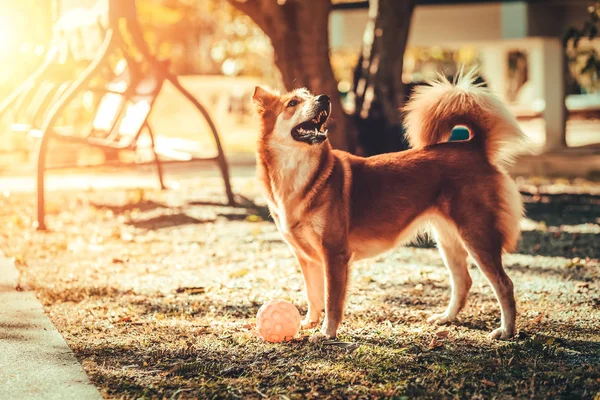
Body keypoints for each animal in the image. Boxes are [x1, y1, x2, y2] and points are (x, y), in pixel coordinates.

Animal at [251, 72, 524, 340]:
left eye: (307, 97)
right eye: (293, 103)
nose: (324, 98)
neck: (299, 178)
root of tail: (473, 145)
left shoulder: (334, 253)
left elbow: (332, 299)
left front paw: (327, 332)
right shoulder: (306, 257)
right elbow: (313, 294)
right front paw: (310, 322)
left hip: (477, 235)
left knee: (504, 283)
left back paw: (506, 330)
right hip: (448, 240)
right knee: (463, 281)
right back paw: (446, 318)